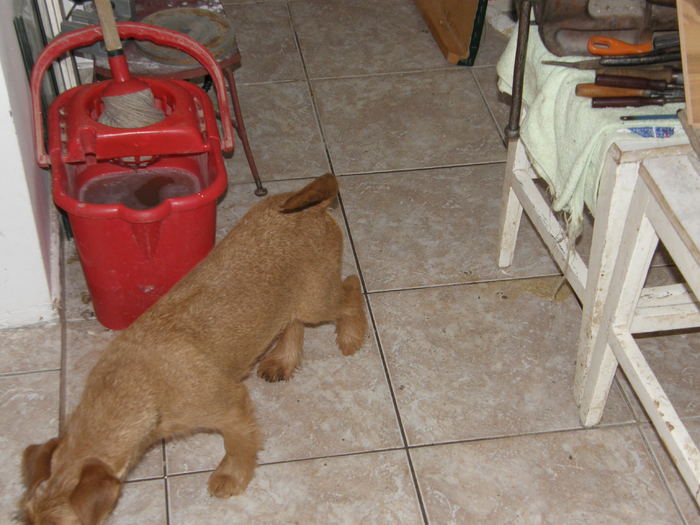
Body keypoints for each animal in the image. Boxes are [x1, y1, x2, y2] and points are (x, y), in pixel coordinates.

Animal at [20, 175, 366, 524]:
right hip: (295, 299)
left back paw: (351, 336)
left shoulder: (232, 406)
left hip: (317, 300)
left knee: (350, 289)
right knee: (295, 322)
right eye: (28, 518)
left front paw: (230, 477)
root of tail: (308, 204)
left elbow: (238, 445)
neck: (134, 386)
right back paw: (283, 360)